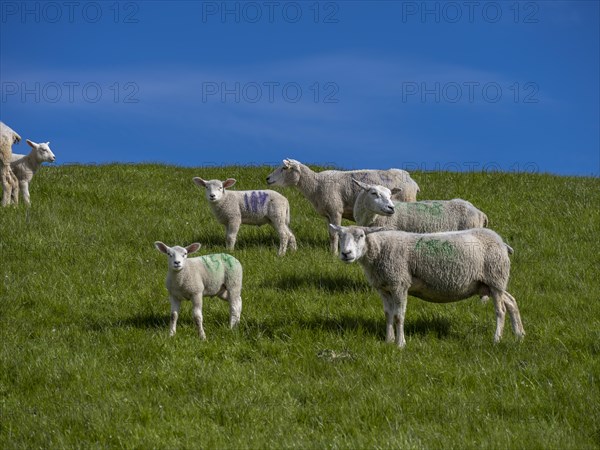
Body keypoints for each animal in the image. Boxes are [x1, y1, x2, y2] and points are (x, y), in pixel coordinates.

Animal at [264, 158, 420, 253]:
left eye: (284, 168)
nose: (267, 178)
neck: (316, 185)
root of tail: (412, 181)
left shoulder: (335, 210)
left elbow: (334, 234)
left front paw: (333, 254)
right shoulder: (328, 214)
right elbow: (330, 234)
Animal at [328, 225, 524, 348]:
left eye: (361, 236)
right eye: (341, 237)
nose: (346, 253)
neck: (378, 250)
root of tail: (502, 242)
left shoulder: (399, 283)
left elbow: (398, 316)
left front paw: (400, 344)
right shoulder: (384, 288)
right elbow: (388, 315)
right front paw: (388, 341)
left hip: (495, 278)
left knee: (501, 311)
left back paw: (497, 339)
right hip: (488, 284)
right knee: (512, 301)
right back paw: (519, 334)